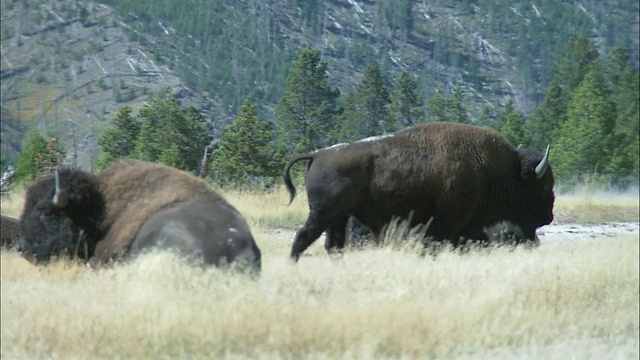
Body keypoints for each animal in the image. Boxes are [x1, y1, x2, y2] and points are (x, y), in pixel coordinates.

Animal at [284, 122, 556, 260]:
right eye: (543, 186)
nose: (549, 216)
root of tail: (317, 155)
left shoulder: (467, 226)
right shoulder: (446, 223)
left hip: (337, 218)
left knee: (333, 245)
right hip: (323, 214)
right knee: (303, 238)